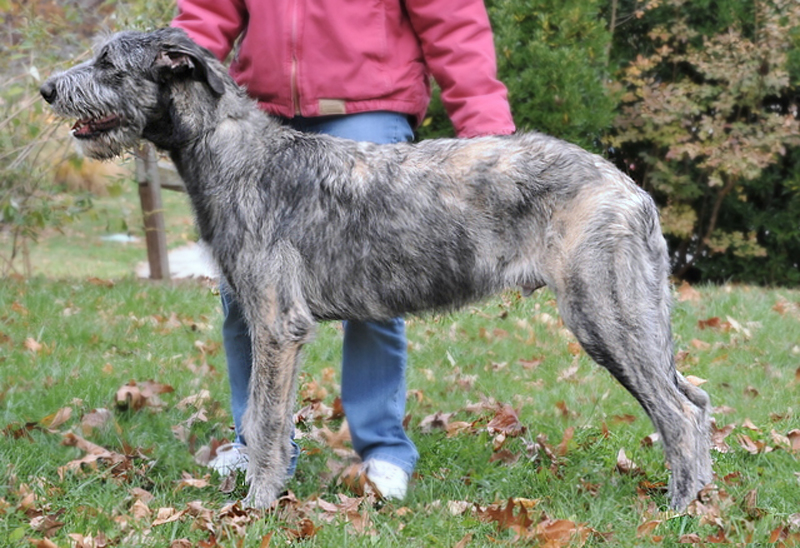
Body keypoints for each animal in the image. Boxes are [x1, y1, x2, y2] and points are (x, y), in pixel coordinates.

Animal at [42, 28, 712, 510]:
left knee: (678, 415)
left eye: (107, 62)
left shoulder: (277, 322)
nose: (47, 88)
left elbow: (264, 418)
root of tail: (632, 190)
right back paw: (702, 498)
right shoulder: (267, 319)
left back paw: (677, 512)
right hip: (636, 317)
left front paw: (255, 508)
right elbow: (268, 418)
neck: (235, 151)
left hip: (604, 313)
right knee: (697, 401)